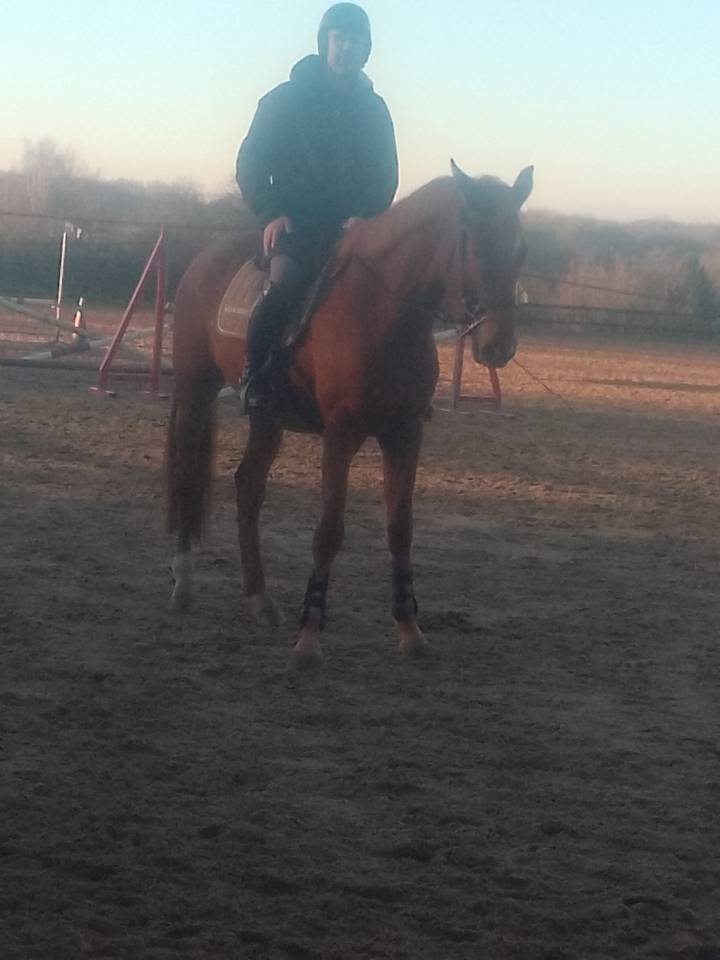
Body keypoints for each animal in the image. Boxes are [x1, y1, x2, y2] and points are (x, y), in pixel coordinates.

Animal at [166, 160, 533, 664]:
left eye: (520, 250)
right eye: (475, 247)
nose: (498, 346)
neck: (384, 311)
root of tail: (203, 259)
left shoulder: (405, 433)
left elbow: (400, 528)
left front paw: (409, 629)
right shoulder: (341, 435)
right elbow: (329, 531)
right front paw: (309, 638)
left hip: (267, 417)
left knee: (248, 487)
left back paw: (260, 598)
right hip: (196, 392)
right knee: (187, 476)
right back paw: (183, 584)